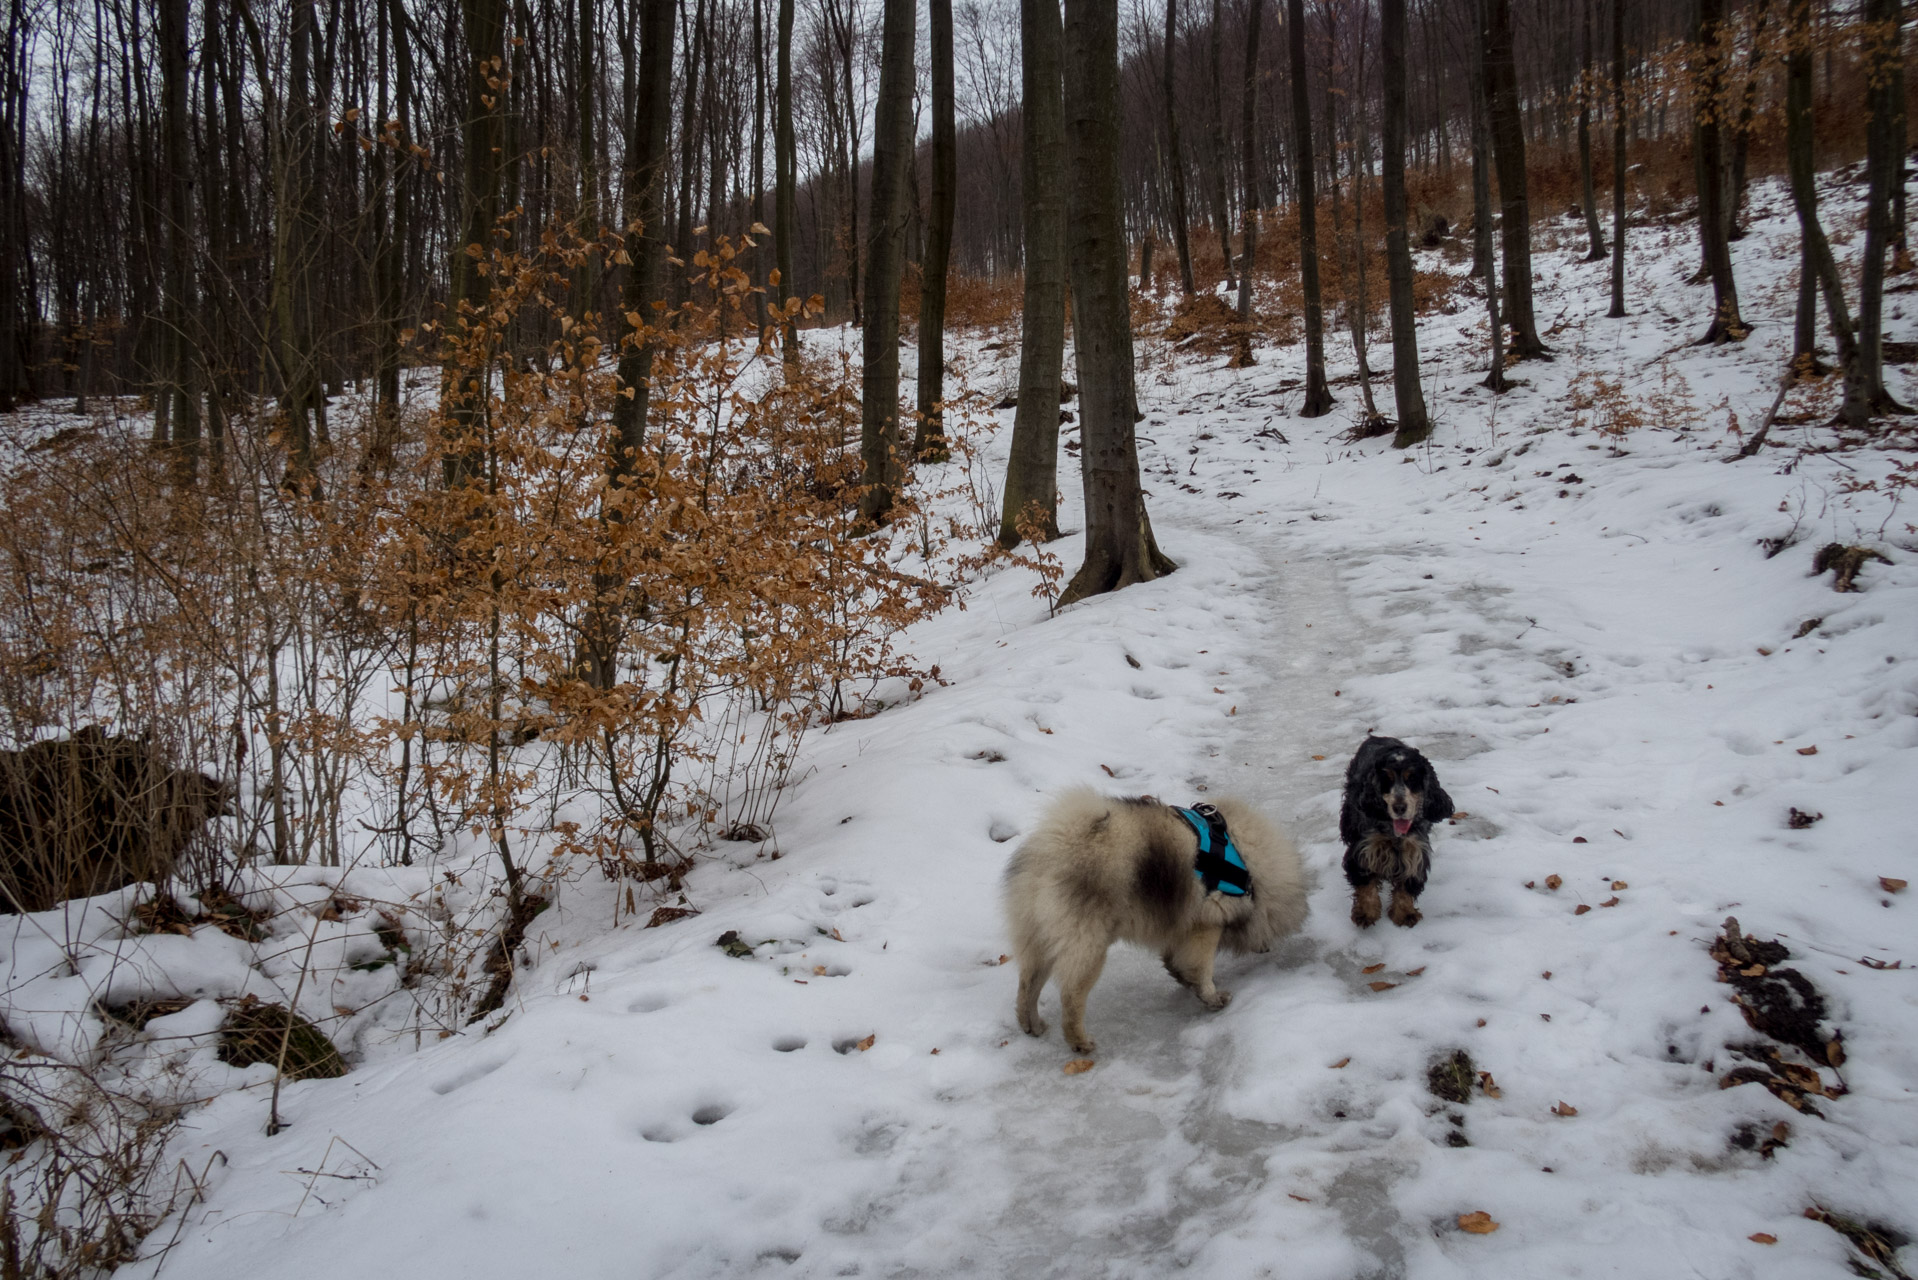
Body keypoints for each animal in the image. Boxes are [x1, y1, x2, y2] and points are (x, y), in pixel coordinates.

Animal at [1005, 794, 1304, 1059]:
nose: (1266, 948)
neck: (1246, 859)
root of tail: (1051, 851)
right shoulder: (1205, 924)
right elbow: (1201, 967)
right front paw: (1212, 997)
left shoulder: (1180, 925)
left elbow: (1177, 961)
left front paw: (1186, 982)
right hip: (1088, 945)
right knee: (1071, 997)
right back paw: (1079, 1041)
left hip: (1038, 938)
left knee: (1027, 985)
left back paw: (1031, 1024)